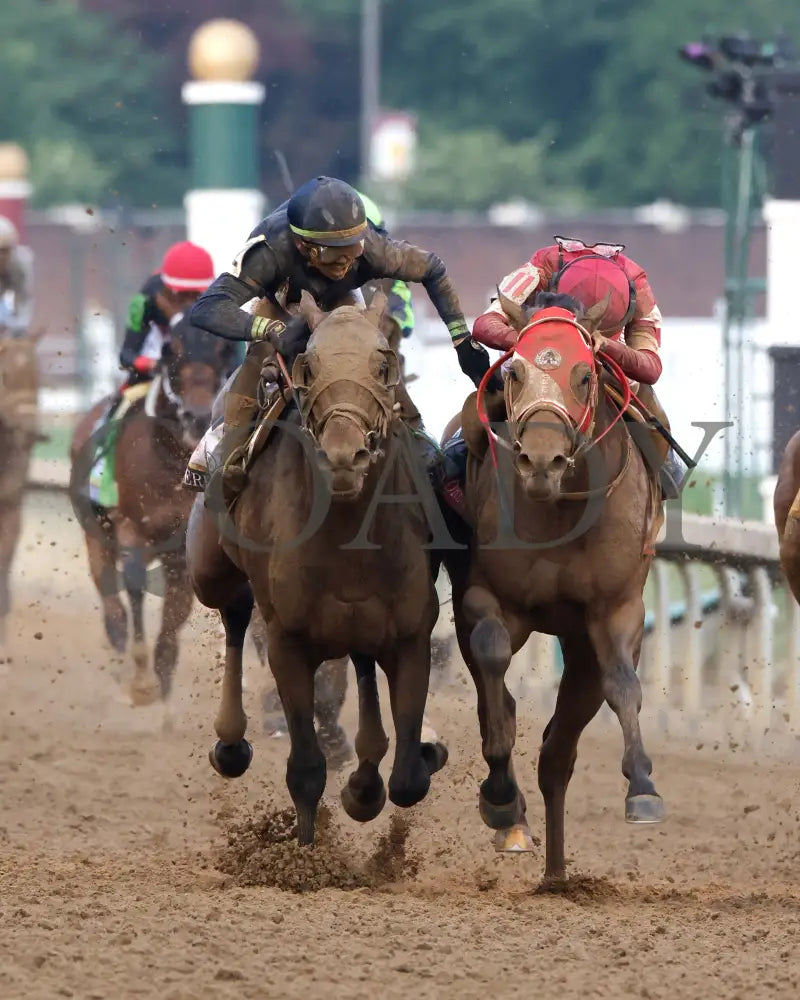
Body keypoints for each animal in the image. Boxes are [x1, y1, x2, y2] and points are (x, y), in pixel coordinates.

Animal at [70, 318, 230, 704]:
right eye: (172, 357)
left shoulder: (181, 546)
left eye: (221, 355)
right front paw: (142, 678)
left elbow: (179, 606)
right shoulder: (132, 526)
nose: (197, 417)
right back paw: (117, 642)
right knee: (109, 588)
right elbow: (134, 584)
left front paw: (163, 670)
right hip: (96, 531)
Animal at [190, 294, 446, 844]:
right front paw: (304, 851)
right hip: (208, 569)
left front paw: (373, 785)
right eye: (307, 366)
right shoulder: (288, 639)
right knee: (234, 611)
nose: (344, 456)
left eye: (384, 366)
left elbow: (409, 778)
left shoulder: (411, 633)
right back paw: (230, 743)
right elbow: (306, 769)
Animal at [446, 292, 664, 884]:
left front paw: (643, 787)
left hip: (581, 651)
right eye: (514, 371)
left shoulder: (615, 609)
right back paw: (518, 825)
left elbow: (624, 685)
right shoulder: (486, 598)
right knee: (500, 705)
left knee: (558, 752)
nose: (542, 460)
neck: (559, 507)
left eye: (585, 374)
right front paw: (500, 797)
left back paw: (557, 872)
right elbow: (493, 662)